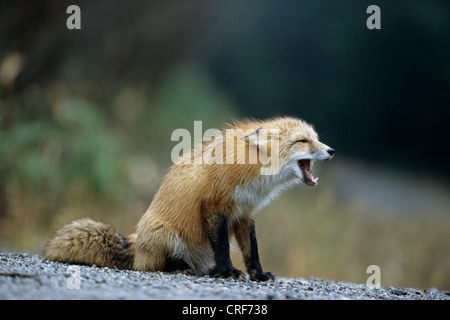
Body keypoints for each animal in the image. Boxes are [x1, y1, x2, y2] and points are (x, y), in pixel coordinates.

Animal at [44, 117, 334, 280]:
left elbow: (252, 251)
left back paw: (207, 270)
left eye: (316, 139)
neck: (254, 171)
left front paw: (259, 275)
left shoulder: (244, 213)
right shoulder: (215, 206)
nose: (331, 150)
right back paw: (181, 268)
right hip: (165, 235)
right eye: (303, 141)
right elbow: (222, 248)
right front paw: (228, 272)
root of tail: (136, 243)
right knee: (154, 266)